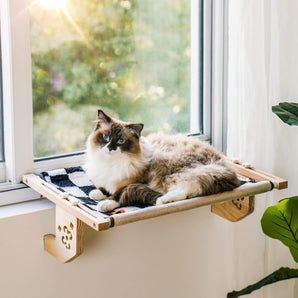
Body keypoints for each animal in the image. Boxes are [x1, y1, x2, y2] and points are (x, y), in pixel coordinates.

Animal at [84, 109, 240, 212]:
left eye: (121, 141)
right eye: (106, 137)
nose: (110, 148)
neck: (110, 163)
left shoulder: (135, 182)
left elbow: (118, 194)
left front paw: (105, 204)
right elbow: (104, 188)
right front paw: (97, 193)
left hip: (173, 174)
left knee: (187, 190)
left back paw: (163, 201)